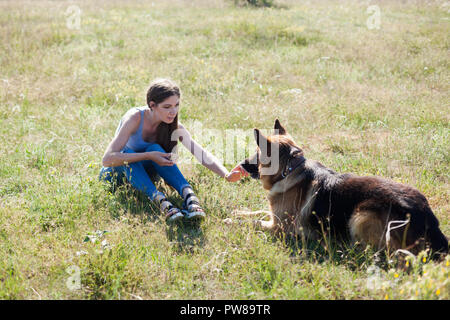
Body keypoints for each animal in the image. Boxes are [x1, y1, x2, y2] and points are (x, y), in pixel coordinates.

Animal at [237, 119, 448, 258]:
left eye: (256, 153)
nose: (241, 164)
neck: (290, 169)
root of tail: (426, 217)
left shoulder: (278, 226)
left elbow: (254, 222)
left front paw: (233, 221)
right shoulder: (275, 216)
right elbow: (257, 212)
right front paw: (239, 212)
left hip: (360, 215)